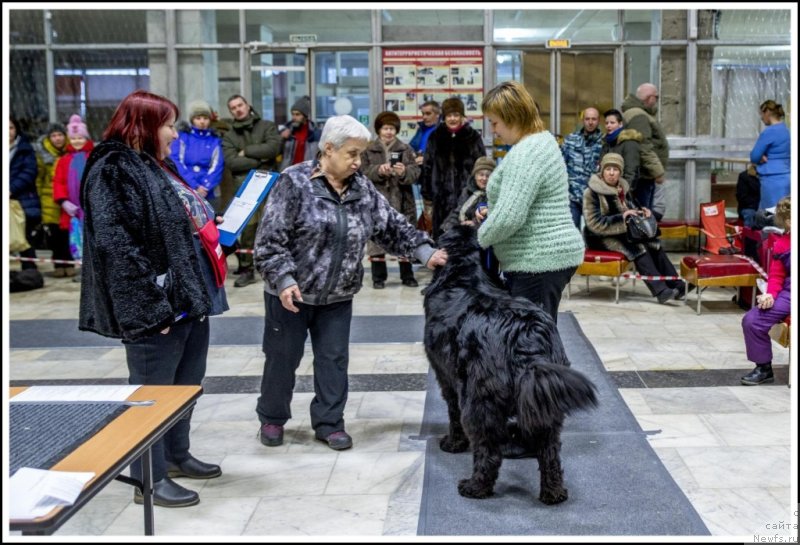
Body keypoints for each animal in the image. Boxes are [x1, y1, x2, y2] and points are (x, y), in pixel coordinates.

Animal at [422, 223, 596, 504]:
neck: (463, 276)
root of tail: (526, 333)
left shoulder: (446, 376)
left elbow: (453, 413)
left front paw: (453, 443)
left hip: (479, 397)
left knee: (489, 451)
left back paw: (475, 487)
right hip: (547, 395)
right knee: (550, 450)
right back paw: (553, 492)